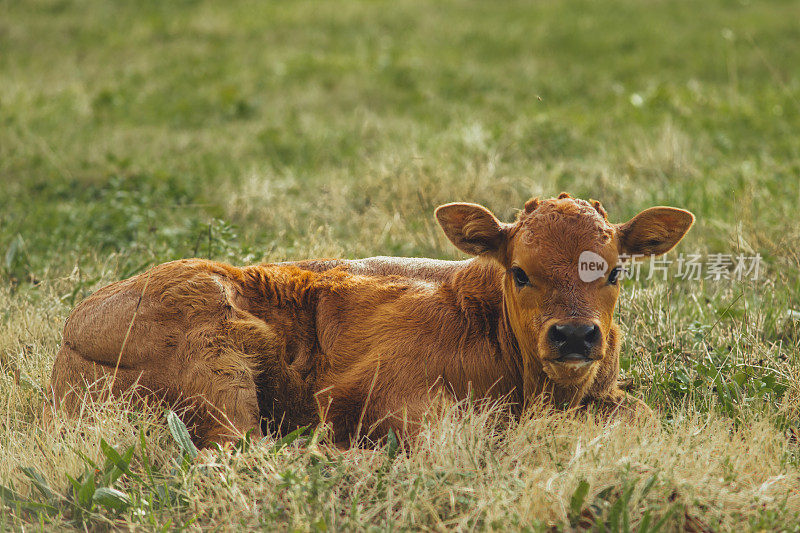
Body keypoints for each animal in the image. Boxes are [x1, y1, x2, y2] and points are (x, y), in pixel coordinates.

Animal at [50, 193, 692, 446]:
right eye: (520, 272)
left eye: (614, 271)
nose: (575, 336)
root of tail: (78, 323)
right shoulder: (379, 393)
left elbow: (641, 415)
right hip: (217, 364)